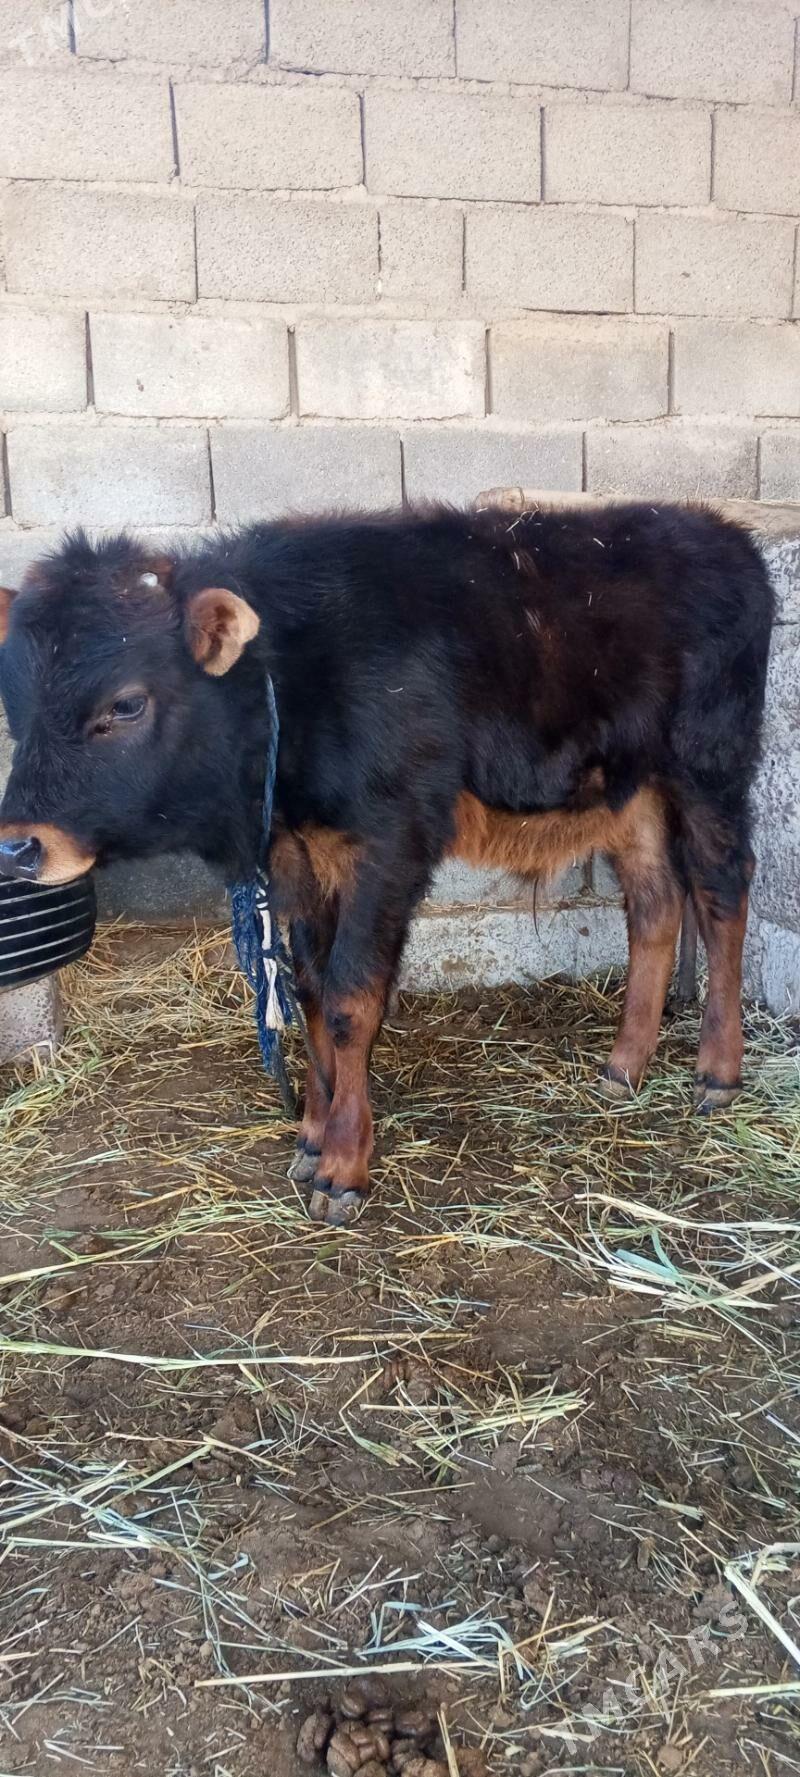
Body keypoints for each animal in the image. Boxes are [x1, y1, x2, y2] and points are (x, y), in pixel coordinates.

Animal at [0, 502, 775, 1225]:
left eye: (126, 704)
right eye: (18, 704)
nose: (19, 845)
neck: (289, 672)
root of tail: (721, 533)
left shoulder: (388, 846)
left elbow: (351, 996)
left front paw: (343, 1164)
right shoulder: (298, 854)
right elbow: (311, 988)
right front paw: (311, 1135)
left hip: (710, 767)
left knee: (722, 891)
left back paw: (717, 1072)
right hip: (629, 789)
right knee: (656, 903)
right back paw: (623, 1067)